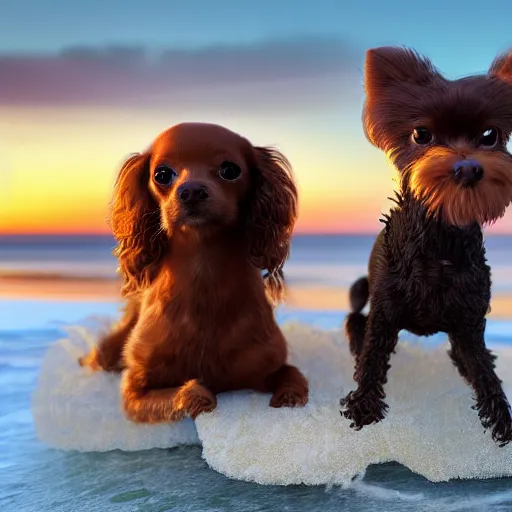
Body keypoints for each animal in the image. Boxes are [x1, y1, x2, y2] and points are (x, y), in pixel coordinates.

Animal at [79, 122, 308, 422]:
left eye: (230, 170)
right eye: (162, 174)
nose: (191, 191)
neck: (203, 267)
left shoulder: (267, 364)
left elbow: (292, 373)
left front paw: (289, 397)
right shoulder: (134, 390)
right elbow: (190, 392)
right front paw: (199, 394)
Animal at [342, 49, 512, 448]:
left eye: (490, 136)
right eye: (421, 135)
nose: (467, 168)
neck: (439, 240)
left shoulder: (469, 324)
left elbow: (484, 369)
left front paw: (501, 417)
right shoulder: (384, 313)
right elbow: (373, 357)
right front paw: (363, 406)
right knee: (355, 321)